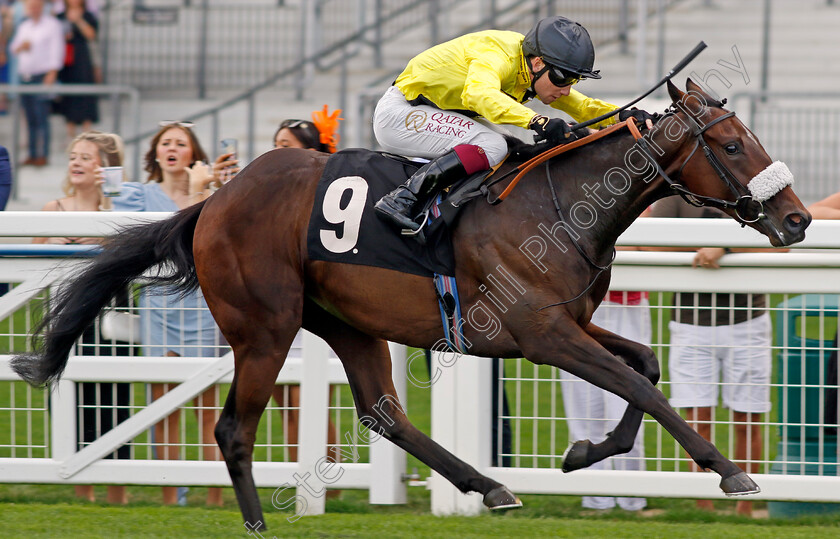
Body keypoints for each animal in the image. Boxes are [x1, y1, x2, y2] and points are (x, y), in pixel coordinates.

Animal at [11, 81, 808, 532]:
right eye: (731, 144)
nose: (798, 219)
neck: (563, 203)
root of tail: (216, 199)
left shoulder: (571, 324)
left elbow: (643, 366)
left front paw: (585, 453)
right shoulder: (541, 334)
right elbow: (644, 385)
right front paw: (728, 470)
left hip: (348, 324)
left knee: (382, 411)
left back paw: (489, 485)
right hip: (265, 328)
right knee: (234, 427)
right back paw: (258, 520)